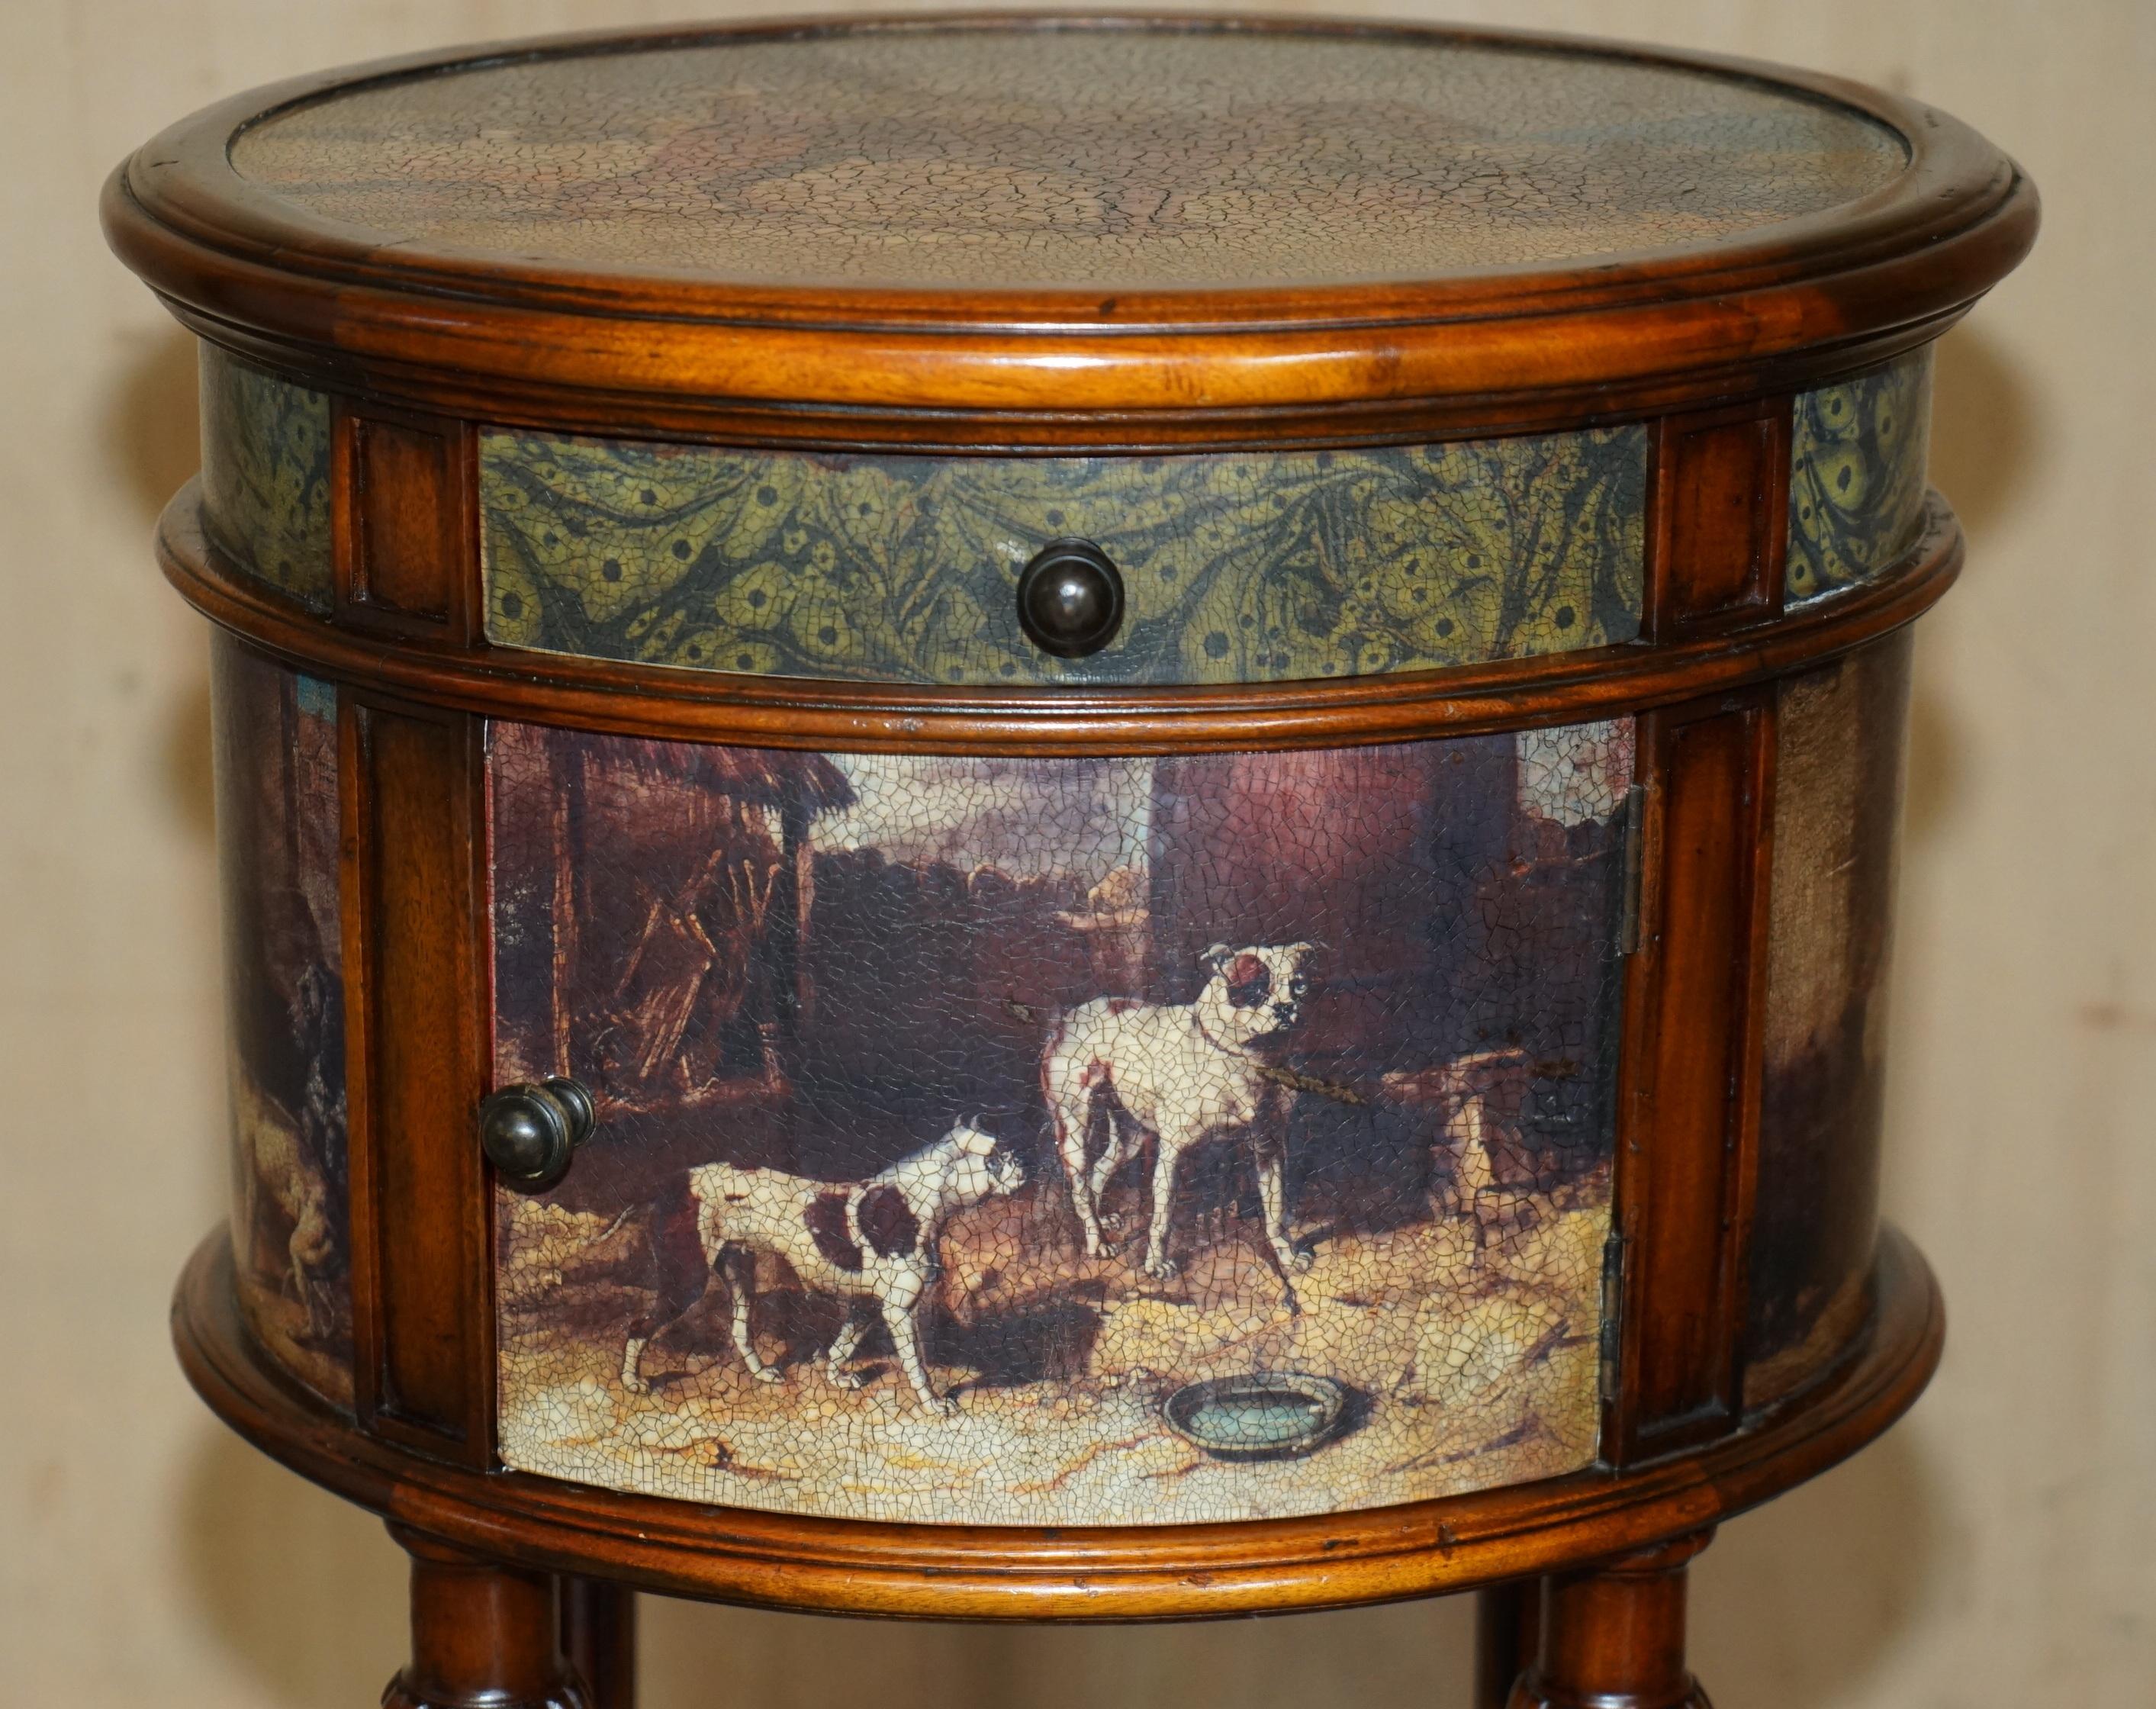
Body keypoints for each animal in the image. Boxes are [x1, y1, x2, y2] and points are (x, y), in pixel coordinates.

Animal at [620, 1120, 1022, 1414]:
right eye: (996, 1158)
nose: (1024, 1164)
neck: (913, 1203)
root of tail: (672, 1185)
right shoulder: (898, 1312)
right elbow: (917, 1367)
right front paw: (935, 1404)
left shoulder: (866, 1308)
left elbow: (839, 1349)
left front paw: (837, 1379)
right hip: (686, 1282)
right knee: (638, 1327)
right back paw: (631, 1383)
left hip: (740, 1277)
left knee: (739, 1332)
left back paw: (763, 1373)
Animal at [1043, 948, 1311, 1276]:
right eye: (1254, 989)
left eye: (1299, 986)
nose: (1285, 1008)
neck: (1248, 1059)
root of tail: (1069, 1019)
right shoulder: (1172, 1154)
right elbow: (1163, 1216)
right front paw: (1156, 1264)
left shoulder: (1268, 1149)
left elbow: (1275, 1212)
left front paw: (1287, 1257)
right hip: (1075, 1132)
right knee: (1080, 1187)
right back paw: (1098, 1241)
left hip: (1130, 1138)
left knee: (1099, 1171)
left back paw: (1103, 1221)